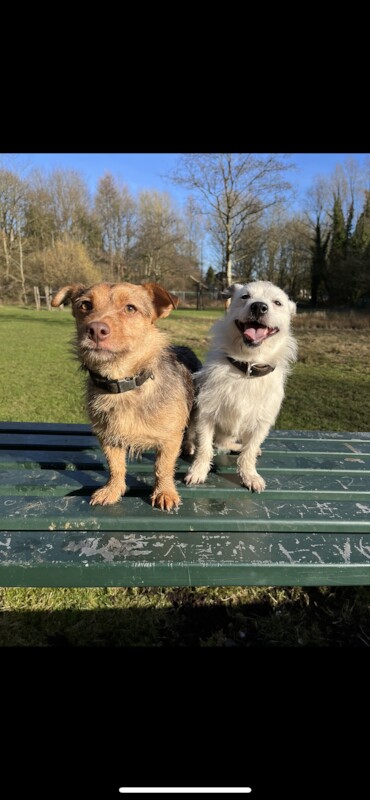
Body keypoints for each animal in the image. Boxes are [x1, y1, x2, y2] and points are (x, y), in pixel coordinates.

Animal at [52, 284, 199, 510]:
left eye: (130, 308)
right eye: (85, 305)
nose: (95, 329)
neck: (123, 383)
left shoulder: (170, 439)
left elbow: (163, 467)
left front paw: (164, 492)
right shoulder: (108, 438)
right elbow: (115, 466)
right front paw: (113, 489)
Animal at [185, 282, 298, 494]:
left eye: (277, 302)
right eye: (245, 296)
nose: (259, 307)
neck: (247, 367)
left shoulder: (261, 423)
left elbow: (249, 452)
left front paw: (249, 475)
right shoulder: (206, 414)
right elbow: (204, 448)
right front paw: (198, 471)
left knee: (230, 443)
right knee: (197, 437)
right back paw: (189, 446)